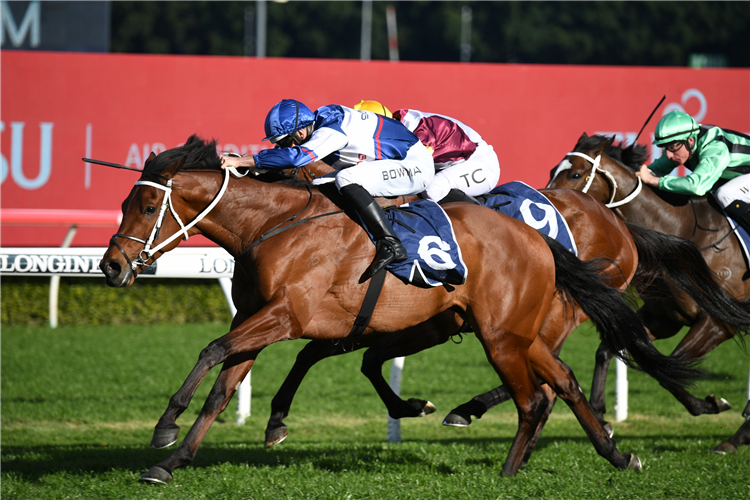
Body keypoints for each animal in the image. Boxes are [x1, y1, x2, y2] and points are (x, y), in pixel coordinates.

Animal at [98, 135, 700, 482]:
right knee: (564, 383)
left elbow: (213, 350)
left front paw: (165, 427)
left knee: (535, 397)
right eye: (125, 201)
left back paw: (508, 464)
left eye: (147, 206)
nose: (111, 266)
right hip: (518, 331)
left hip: (509, 333)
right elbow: (223, 390)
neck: (274, 224)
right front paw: (172, 461)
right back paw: (617, 455)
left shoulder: (288, 317)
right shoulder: (265, 320)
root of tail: (538, 239)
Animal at [548, 134, 750, 458]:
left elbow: (671, 365)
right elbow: (612, 351)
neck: (685, 230)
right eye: (554, 169)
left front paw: (709, 404)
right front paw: (602, 417)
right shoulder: (663, 317)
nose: (547, 200)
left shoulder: (719, 323)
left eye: (576, 174)